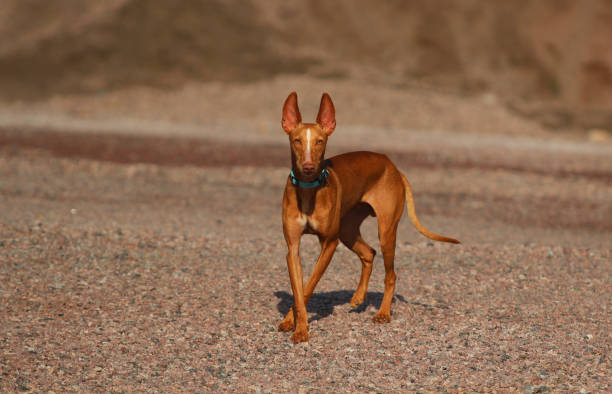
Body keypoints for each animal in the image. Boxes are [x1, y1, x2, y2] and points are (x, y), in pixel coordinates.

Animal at [278, 91, 460, 342]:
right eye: (296, 140)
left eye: (319, 141)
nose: (307, 167)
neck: (308, 190)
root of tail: (393, 166)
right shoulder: (292, 248)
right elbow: (298, 290)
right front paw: (293, 323)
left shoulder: (330, 243)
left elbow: (308, 287)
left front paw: (301, 328)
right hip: (348, 230)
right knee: (369, 253)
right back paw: (358, 297)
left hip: (385, 232)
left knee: (391, 274)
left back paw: (383, 313)